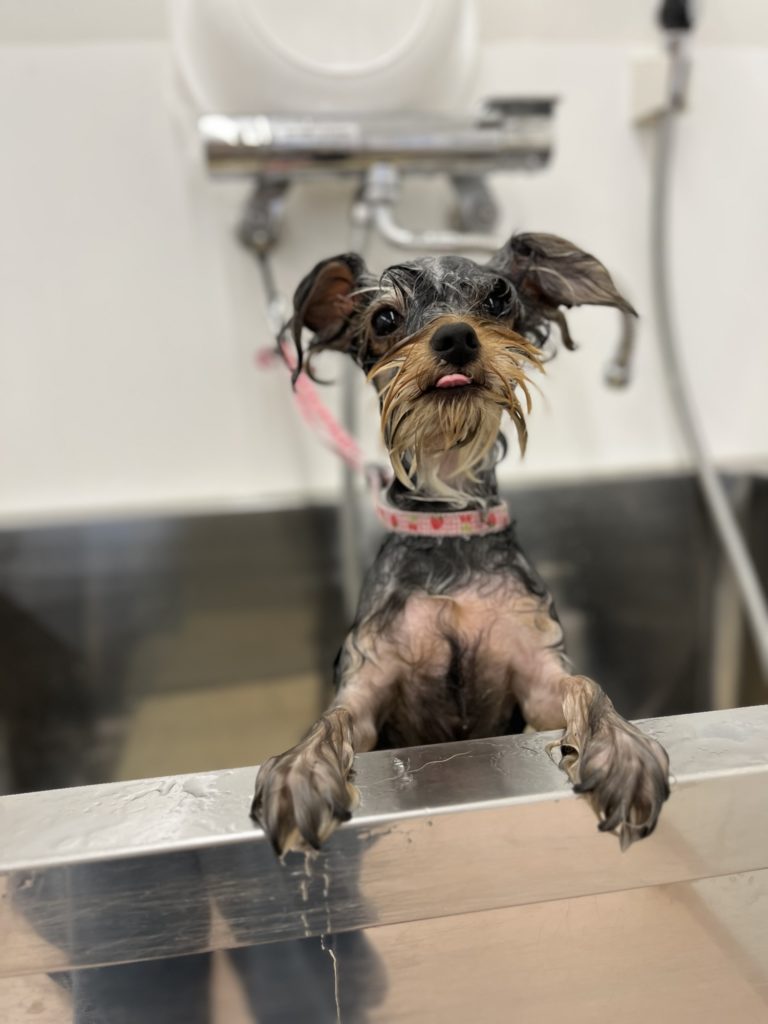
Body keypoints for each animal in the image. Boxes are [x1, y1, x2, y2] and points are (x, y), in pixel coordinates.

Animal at [251, 232, 670, 856]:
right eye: (384, 318)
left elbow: (587, 688)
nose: (455, 336)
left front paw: (623, 751)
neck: (449, 521)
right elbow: (332, 719)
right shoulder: (369, 683)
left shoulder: (537, 676)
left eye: (498, 297)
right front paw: (300, 771)